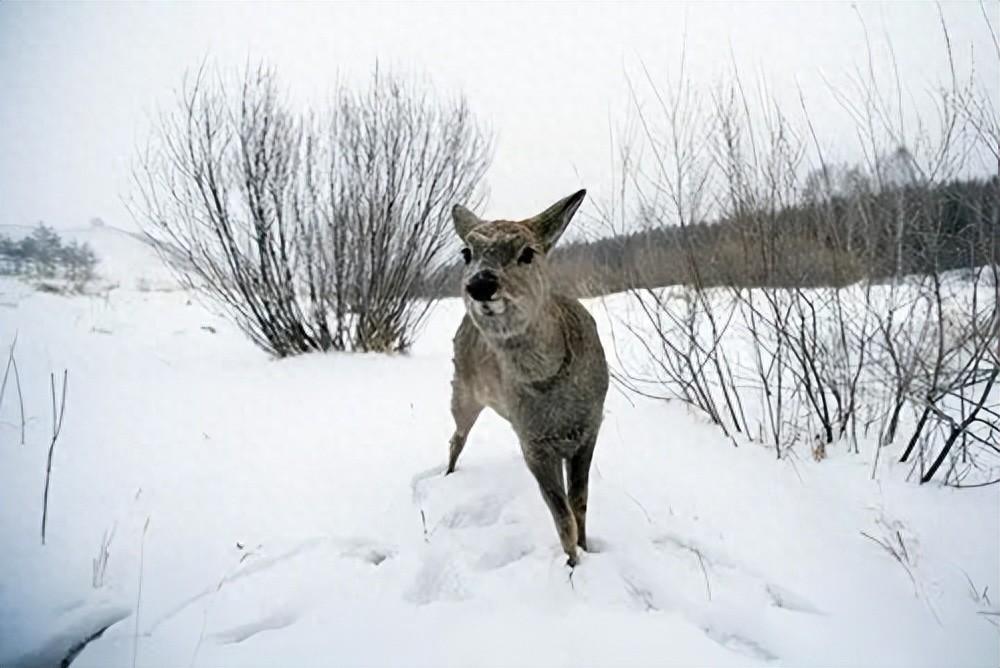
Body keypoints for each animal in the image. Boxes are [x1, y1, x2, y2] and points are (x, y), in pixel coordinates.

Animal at [446, 189, 608, 568]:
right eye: (466, 252)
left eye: (528, 252)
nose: (481, 284)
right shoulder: (532, 442)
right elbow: (562, 517)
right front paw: (573, 564)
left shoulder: (590, 427)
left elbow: (579, 502)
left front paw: (586, 548)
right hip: (463, 392)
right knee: (456, 438)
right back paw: (446, 476)